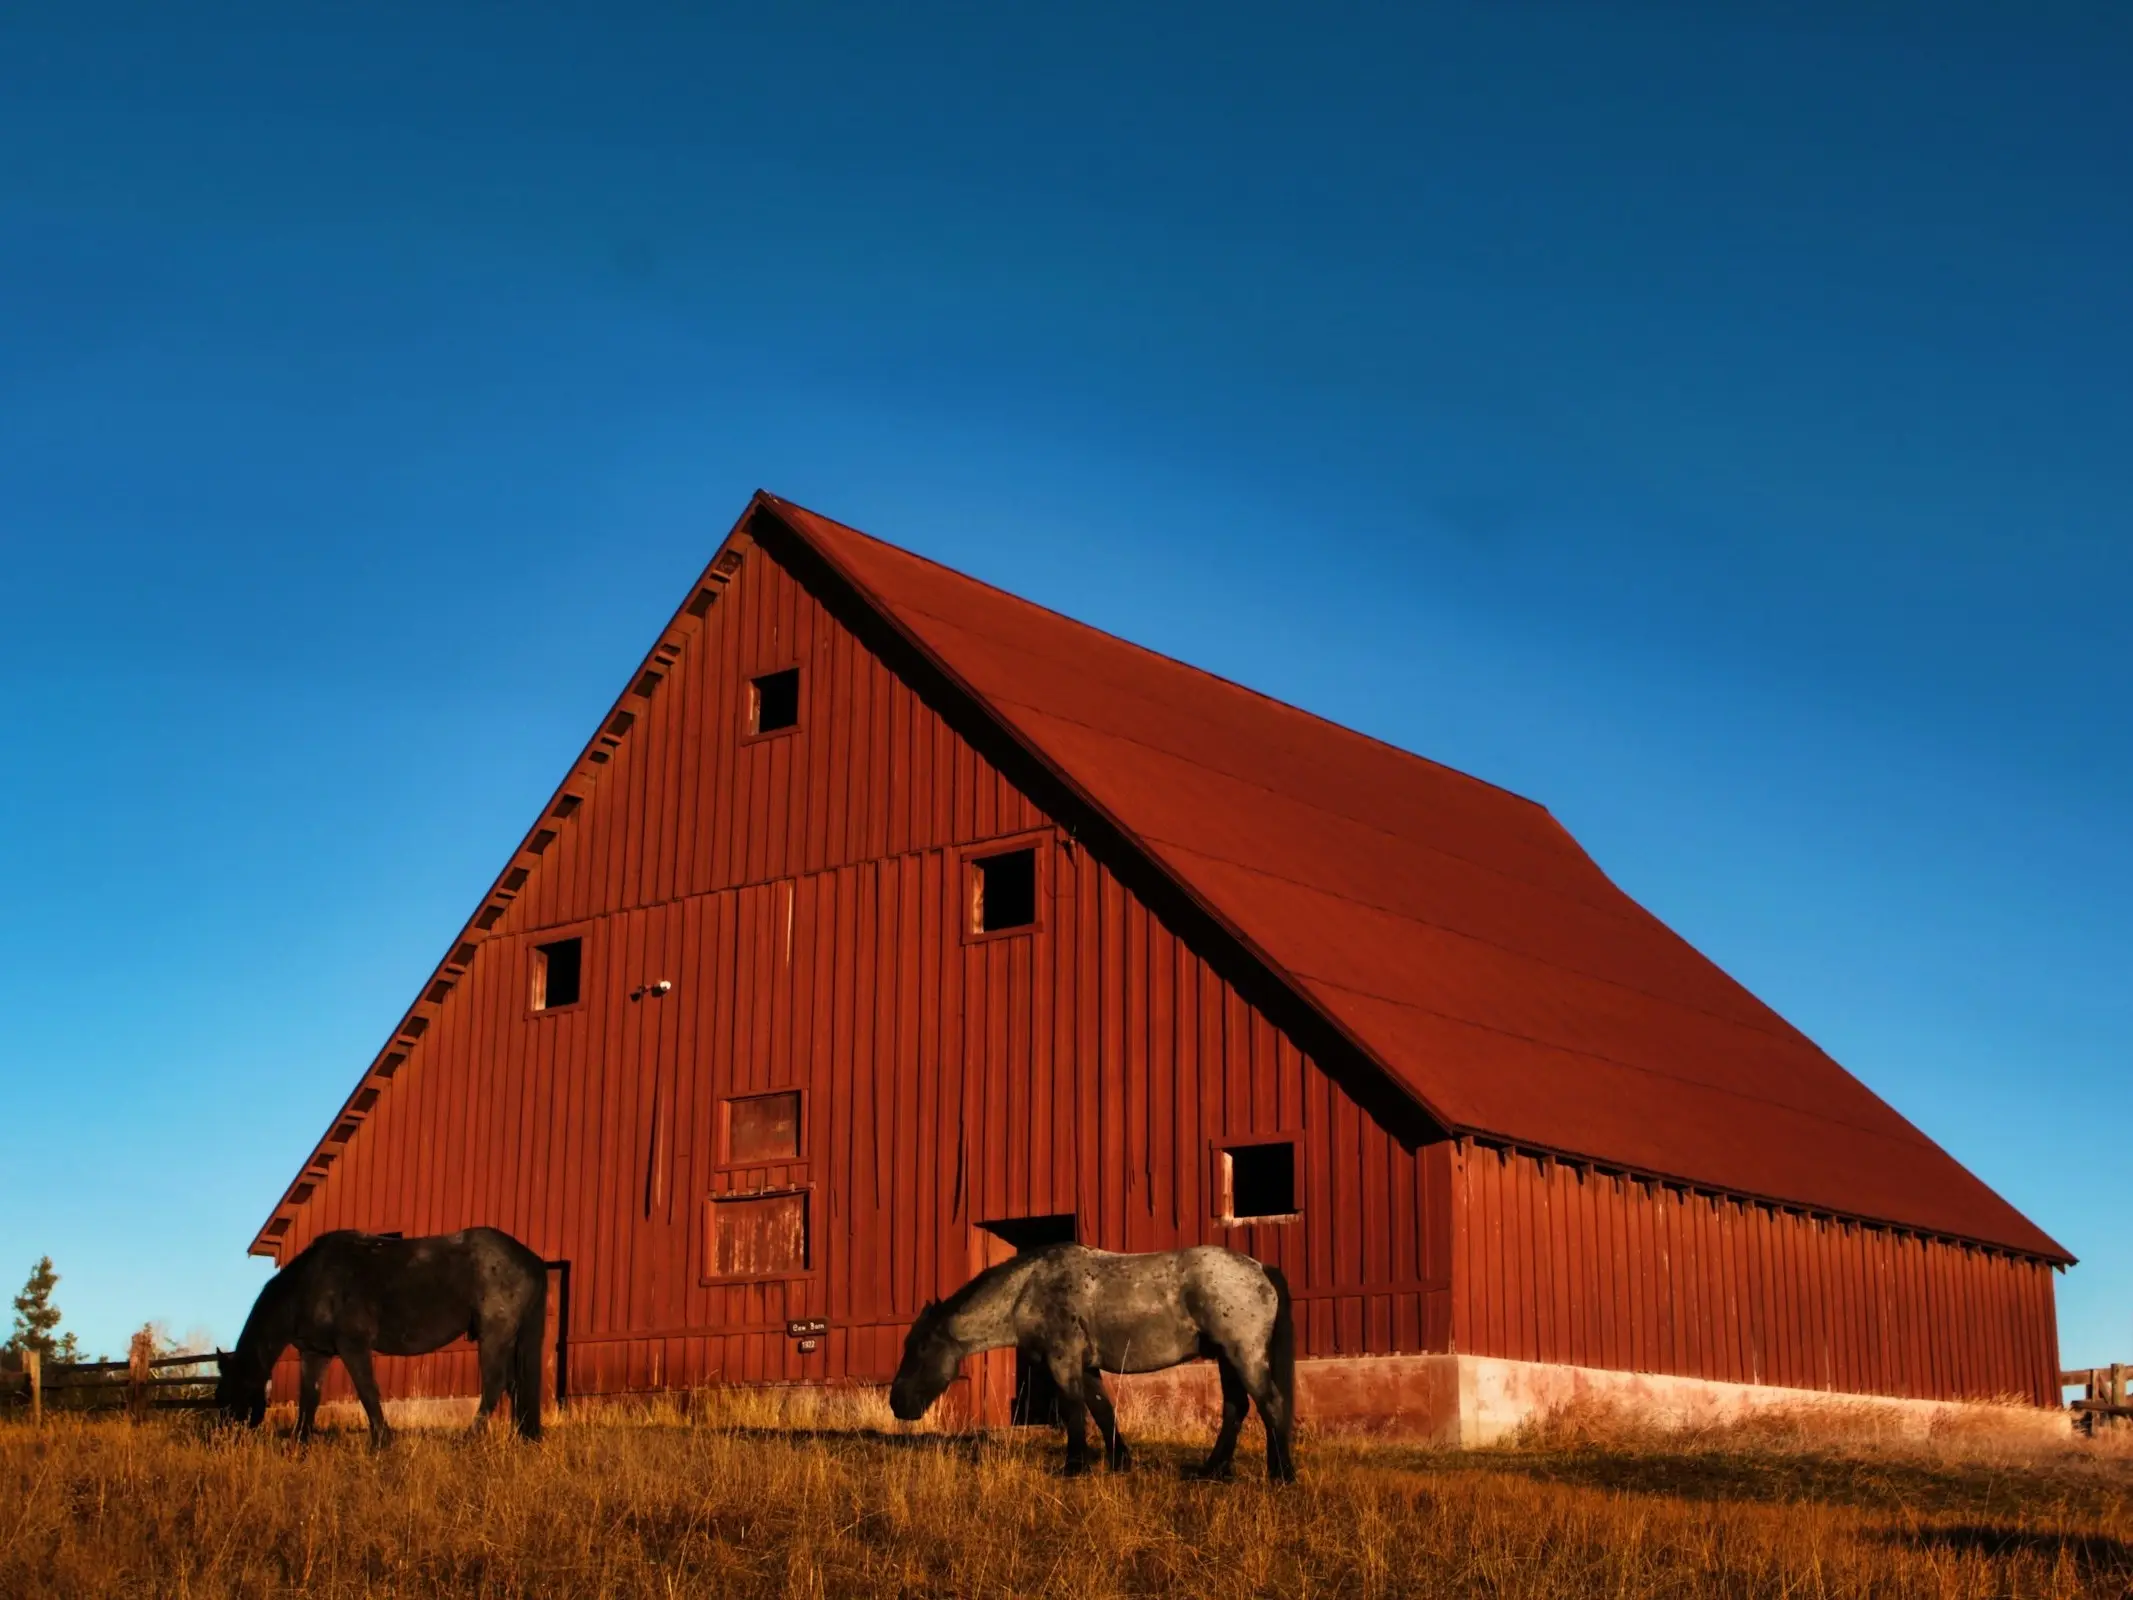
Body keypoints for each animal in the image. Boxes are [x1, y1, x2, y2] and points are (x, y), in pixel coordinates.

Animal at [214, 1228, 550, 1450]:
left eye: (231, 1395)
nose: (222, 1442)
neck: (312, 1283)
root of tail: (530, 1260)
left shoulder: (353, 1346)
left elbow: (368, 1392)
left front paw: (381, 1444)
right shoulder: (315, 1353)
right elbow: (309, 1398)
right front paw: (299, 1445)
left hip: (494, 1335)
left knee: (495, 1384)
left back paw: (468, 1440)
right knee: (514, 1385)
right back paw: (523, 1438)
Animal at [887, 1245, 1288, 1484]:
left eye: (920, 1347)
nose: (897, 1403)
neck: (1028, 1292)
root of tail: (1260, 1268)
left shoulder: (1063, 1362)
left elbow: (1074, 1412)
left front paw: (1073, 1466)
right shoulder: (1086, 1367)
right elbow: (1103, 1411)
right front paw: (1119, 1461)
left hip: (1242, 1354)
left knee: (1270, 1404)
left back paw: (1281, 1474)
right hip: (1227, 1358)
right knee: (1236, 1408)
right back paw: (1213, 1471)